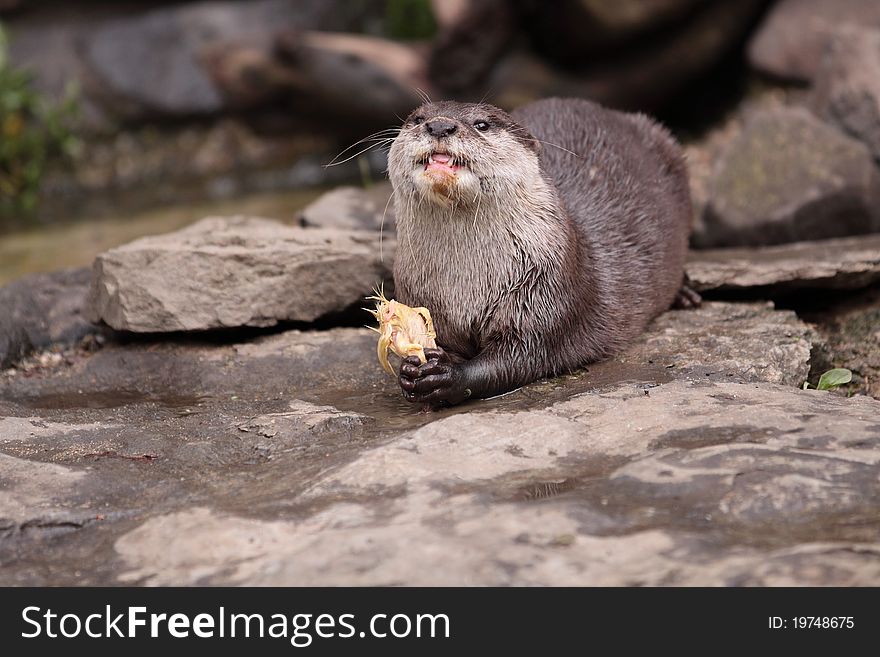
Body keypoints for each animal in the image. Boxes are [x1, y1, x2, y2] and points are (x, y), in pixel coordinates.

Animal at [388, 96, 696, 404]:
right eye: (417, 119)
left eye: (482, 124)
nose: (439, 125)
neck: (465, 286)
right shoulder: (419, 294)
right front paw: (410, 370)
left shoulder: (546, 292)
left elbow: (524, 354)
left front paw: (447, 375)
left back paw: (686, 293)